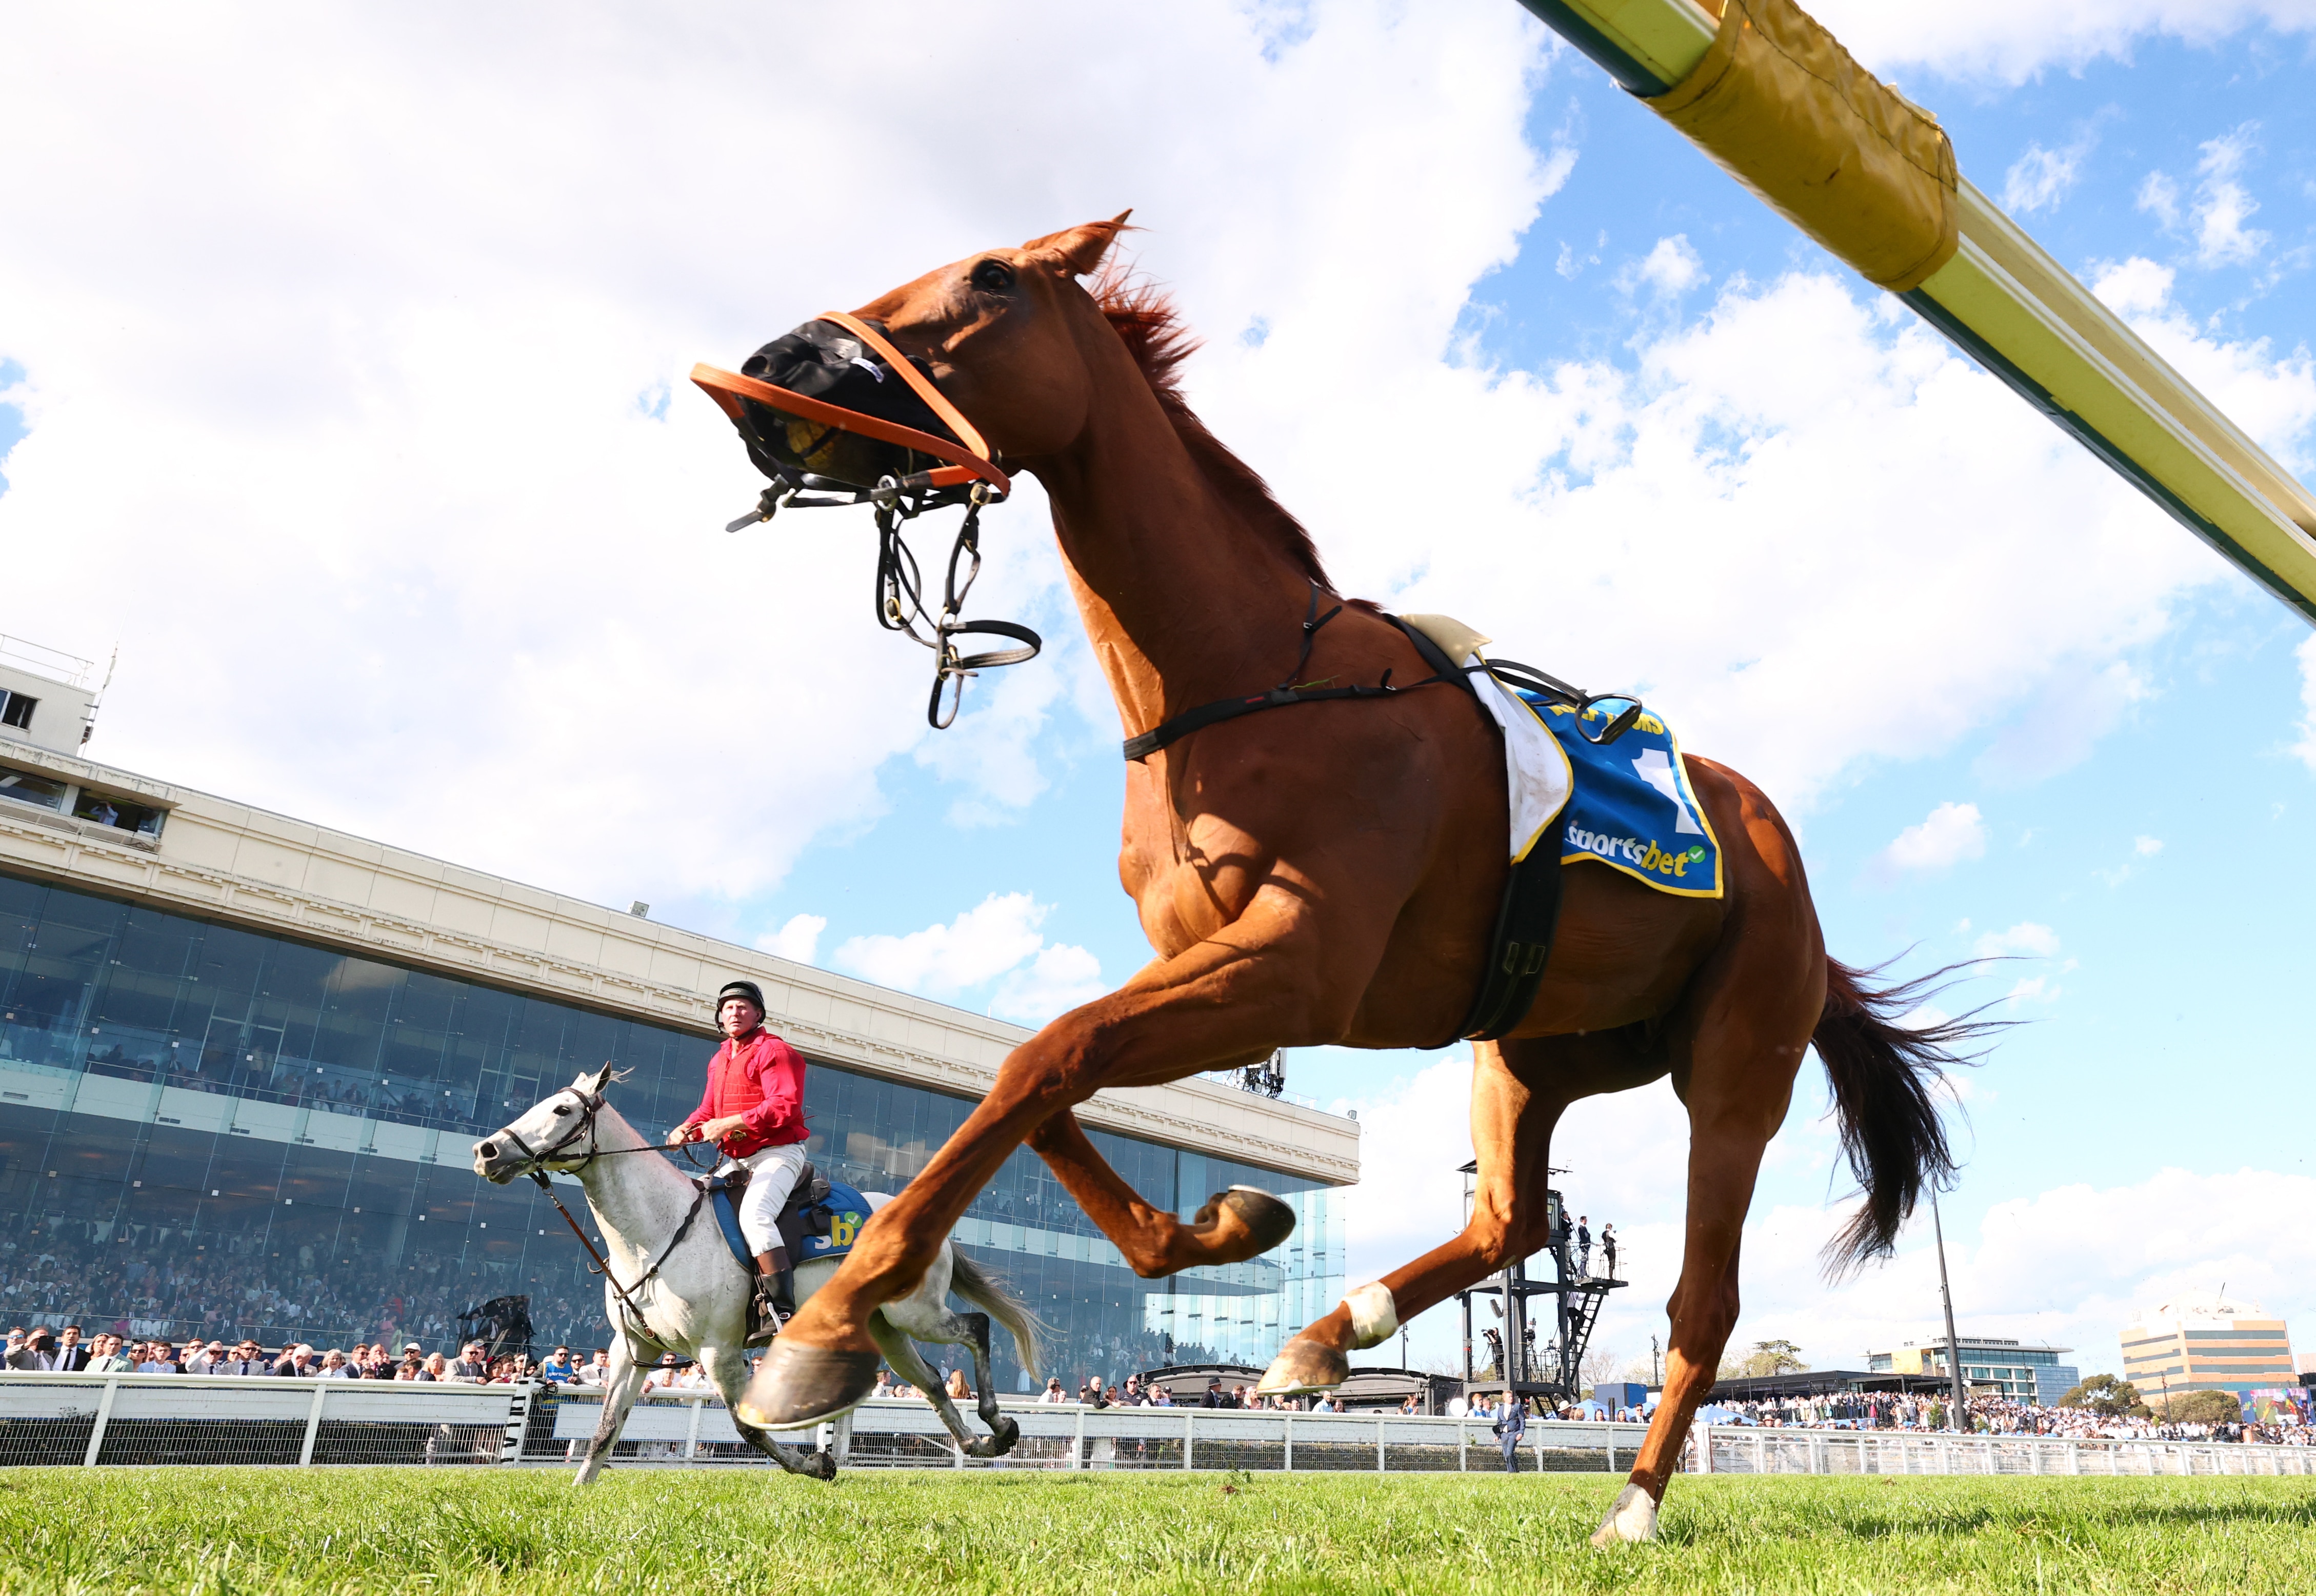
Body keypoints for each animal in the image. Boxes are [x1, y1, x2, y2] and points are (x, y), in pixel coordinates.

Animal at [471, 1066, 1043, 1484]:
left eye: (562, 1109)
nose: (487, 1151)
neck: (657, 1229)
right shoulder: (633, 1349)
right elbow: (607, 1426)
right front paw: (580, 1492)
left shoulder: (718, 1351)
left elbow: (749, 1428)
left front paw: (817, 1464)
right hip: (888, 1328)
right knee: (930, 1380)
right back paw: (979, 1442)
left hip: (917, 1312)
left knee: (975, 1328)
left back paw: (998, 1423)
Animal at [716, 216, 1986, 1544]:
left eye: (990, 279)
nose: (773, 365)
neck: (1247, 679)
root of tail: (1795, 885)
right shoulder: (1211, 968)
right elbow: (1043, 1070)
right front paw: (1226, 1219)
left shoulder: (1299, 968)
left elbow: (1045, 1056)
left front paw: (818, 1333)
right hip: (1531, 1048)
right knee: (1510, 1216)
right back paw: (1331, 1334)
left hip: (1735, 1057)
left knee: (1702, 1295)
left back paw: (1632, 1502)